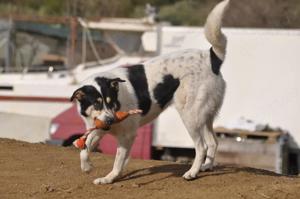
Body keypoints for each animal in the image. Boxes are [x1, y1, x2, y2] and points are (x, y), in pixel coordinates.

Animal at [71, 0, 230, 185]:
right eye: (97, 103)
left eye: (110, 102)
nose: (111, 119)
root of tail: (211, 58)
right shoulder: (99, 128)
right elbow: (84, 149)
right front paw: (87, 167)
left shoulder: (127, 135)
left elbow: (118, 160)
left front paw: (109, 178)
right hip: (204, 116)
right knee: (213, 142)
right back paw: (207, 166)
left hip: (190, 116)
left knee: (202, 146)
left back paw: (192, 173)